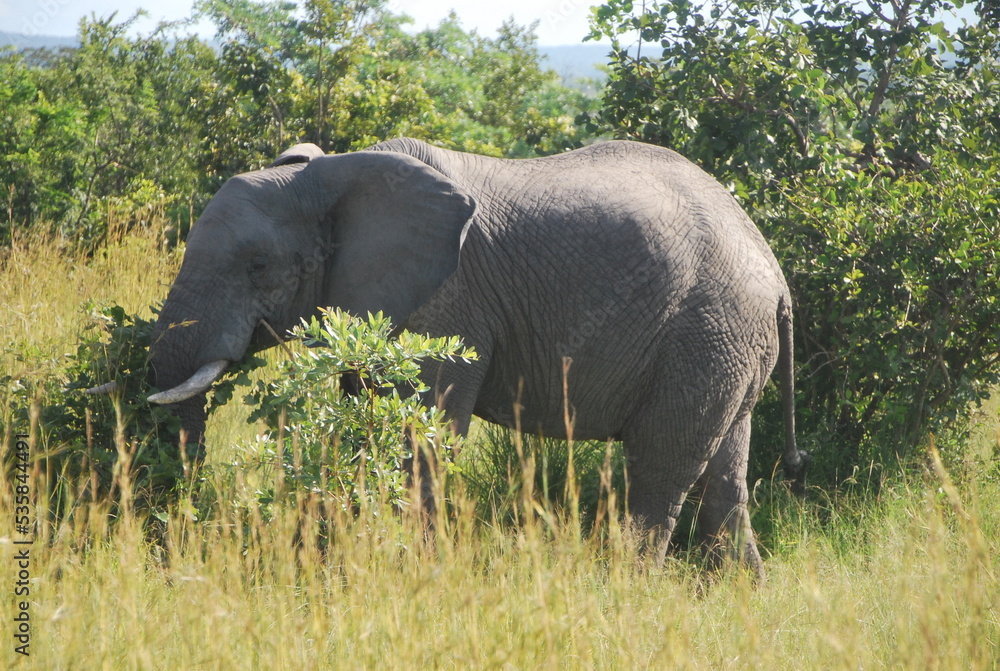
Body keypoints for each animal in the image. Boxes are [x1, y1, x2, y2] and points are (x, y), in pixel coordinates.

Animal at [130, 137, 807, 575]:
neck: (331, 177)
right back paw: (739, 596)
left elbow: (423, 433)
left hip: (707, 333)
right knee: (724, 472)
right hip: (728, 346)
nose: (177, 530)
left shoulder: (447, 301)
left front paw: (411, 577)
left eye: (258, 267)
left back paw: (622, 591)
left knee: (660, 469)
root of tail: (776, 276)